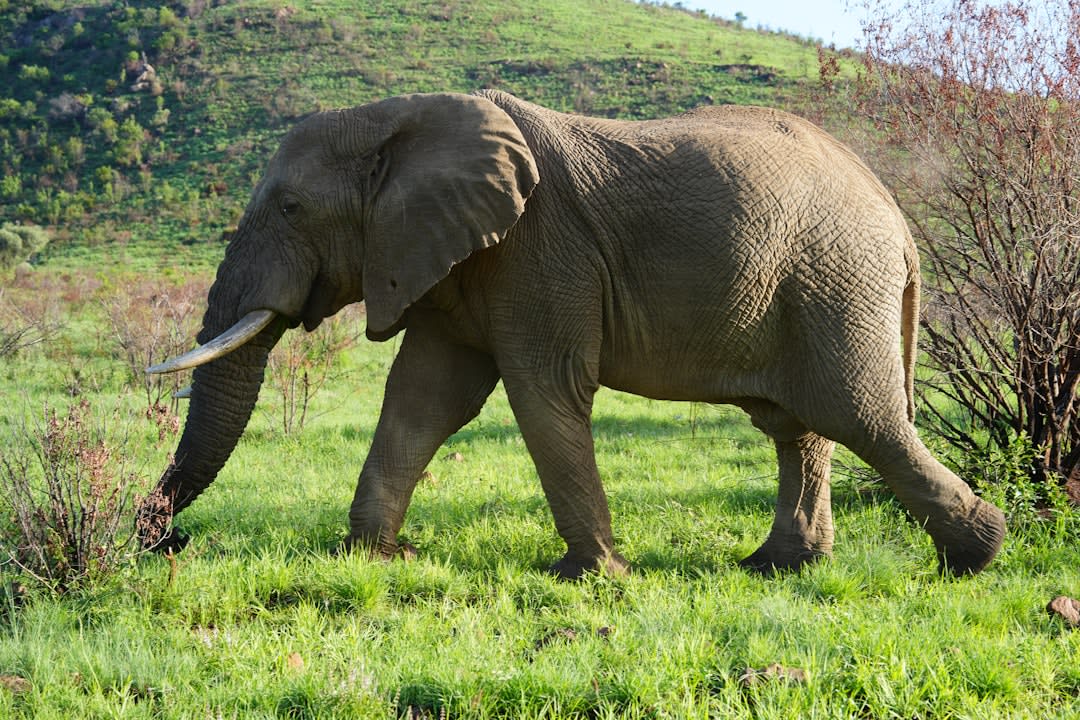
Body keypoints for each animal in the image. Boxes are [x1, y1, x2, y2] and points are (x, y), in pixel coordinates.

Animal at [141, 90, 1006, 579]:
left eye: (290, 208)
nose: (165, 543)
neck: (398, 118)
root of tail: (897, 217)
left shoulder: (537, 248)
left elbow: (542, 390)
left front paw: (594, 576)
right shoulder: (458, 259)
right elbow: (425, 399)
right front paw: (373, 560)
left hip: (835, 280)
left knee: (861, 417)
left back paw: (978, 555)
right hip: (810, 286)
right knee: (799, 426)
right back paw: (779, 568)